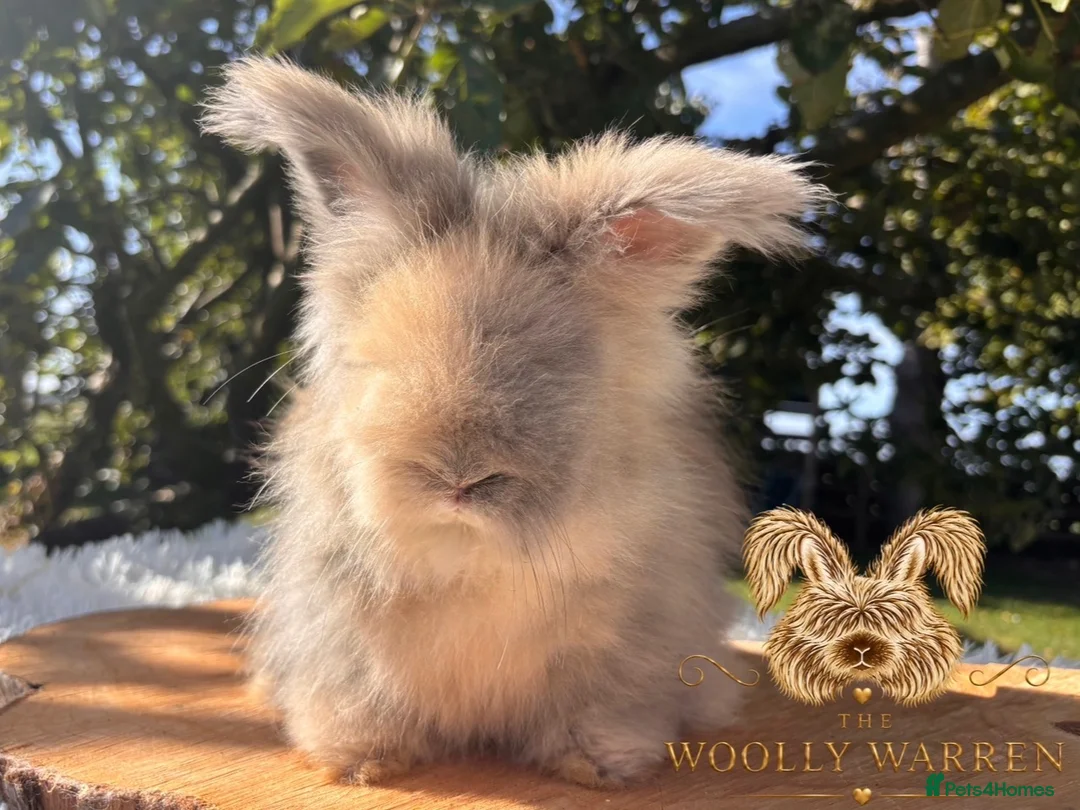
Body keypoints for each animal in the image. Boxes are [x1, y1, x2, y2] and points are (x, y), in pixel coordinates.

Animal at [199, 56, 828, 788]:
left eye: (548, 369)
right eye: (376, 364)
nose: (457, 478)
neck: (471, 556)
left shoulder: (636, 638)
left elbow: (604, 707)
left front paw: (600, 764)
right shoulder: (339, 635)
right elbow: (363, 701)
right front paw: (365, 761)